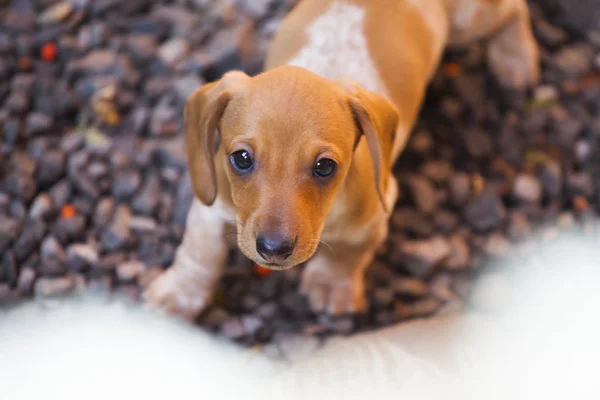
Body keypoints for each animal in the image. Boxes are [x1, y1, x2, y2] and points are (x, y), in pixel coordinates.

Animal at [144, 0, 540, 318]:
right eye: (241, 158)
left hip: (470, 20)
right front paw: (178, 295)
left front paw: (331, 287)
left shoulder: (376, 213)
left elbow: (348, 253)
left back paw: (516, 59)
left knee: (514, 10)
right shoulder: (212, 205)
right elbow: (200, 253)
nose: (273, 249)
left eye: (324, 167)